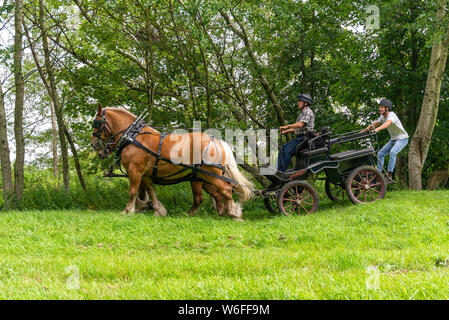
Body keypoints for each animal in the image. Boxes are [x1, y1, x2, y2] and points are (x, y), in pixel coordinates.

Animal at [91, 105, 252, 220]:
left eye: (96, 123)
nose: (94, 144)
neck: (133, 136)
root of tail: (216, 141)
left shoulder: (135, 171)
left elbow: (132, 192)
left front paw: (128, 210)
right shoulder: (146, 175)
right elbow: (151, 192)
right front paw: (158, 210)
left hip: (210, 174)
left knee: (225, 190)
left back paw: (234, 213)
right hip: (202, 176)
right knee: (215, 194)